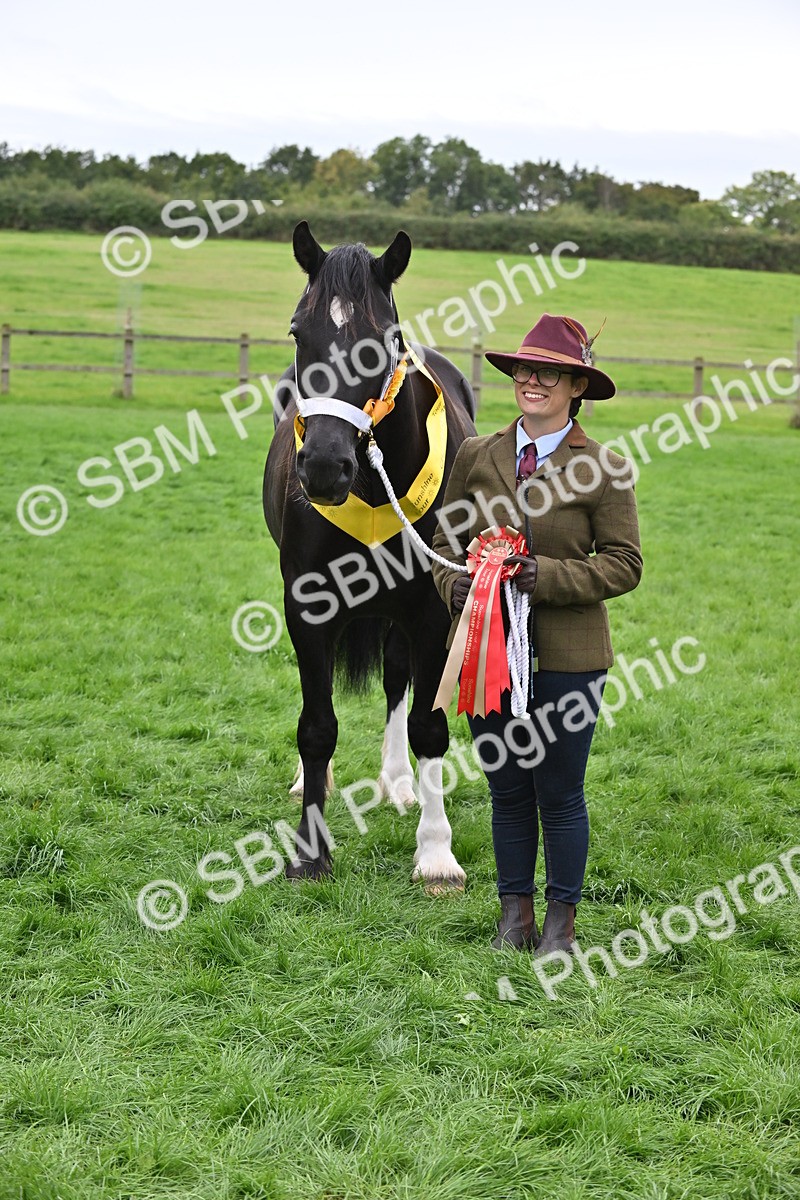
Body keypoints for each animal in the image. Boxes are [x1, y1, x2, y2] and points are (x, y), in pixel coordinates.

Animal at [263, 221, 476, 891]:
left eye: (383, 341)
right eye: (298, 332)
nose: (324, 467)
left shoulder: (433, 610)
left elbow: (427, 723)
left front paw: (436, 853)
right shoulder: (307, 607)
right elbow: (316, 726)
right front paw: (310, 851)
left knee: (396, 680)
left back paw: (399, 784)